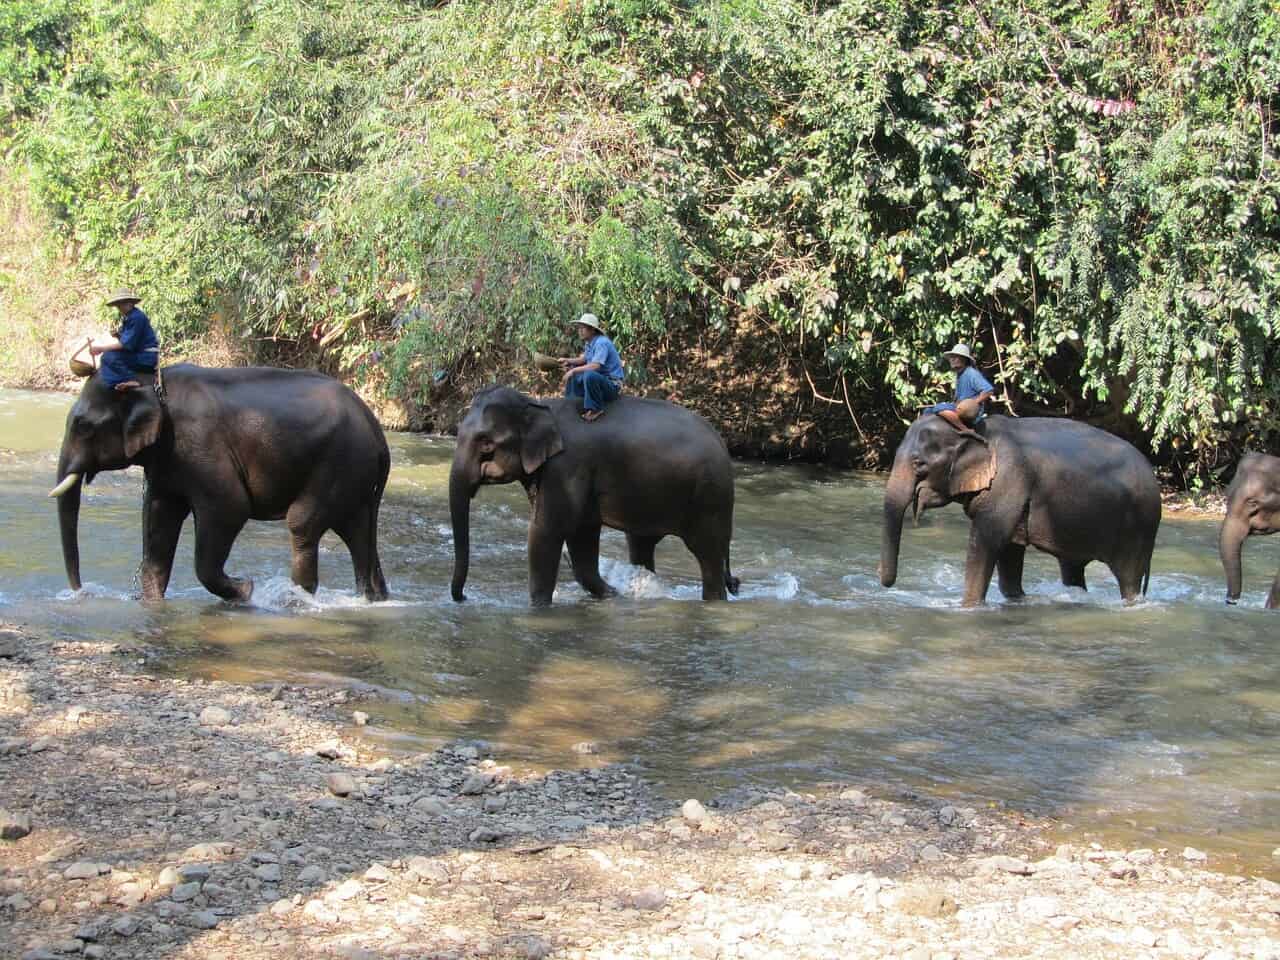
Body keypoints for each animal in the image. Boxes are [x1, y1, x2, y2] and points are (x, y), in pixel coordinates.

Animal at [49, 366, 389, 601]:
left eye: (83, 426)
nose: (81, 590)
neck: (152, 382)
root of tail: (377, 431)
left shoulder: (202, 447)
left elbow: (230, 507)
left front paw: (246, 590)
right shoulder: (168, 463)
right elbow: (159, 518)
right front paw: (152, 602)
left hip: (339, 464)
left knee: (303, 524)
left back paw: (296, 600)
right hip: (354, 477)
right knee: (357, 533)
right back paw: (370, 599)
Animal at [448, 386, 742, 604]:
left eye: (486, 444)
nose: (464, 597)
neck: (538, 406)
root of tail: (722, 442)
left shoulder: (567, 467)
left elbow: (547, 530)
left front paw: (538, 607)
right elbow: (582, 536)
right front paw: (611, 594)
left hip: (710, 498)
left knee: (708, 554)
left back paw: (713, 600)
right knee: (641, 546)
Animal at [880, 414, 1162, 609]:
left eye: (918, 464)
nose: (887, 584)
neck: (975, 430)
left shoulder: (1008, 482)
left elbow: (988, 541)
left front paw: (967, 607)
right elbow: (1010, 551)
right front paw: (1018, 601)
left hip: (1137, 528)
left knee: (1128, 578)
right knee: (1072, 568)